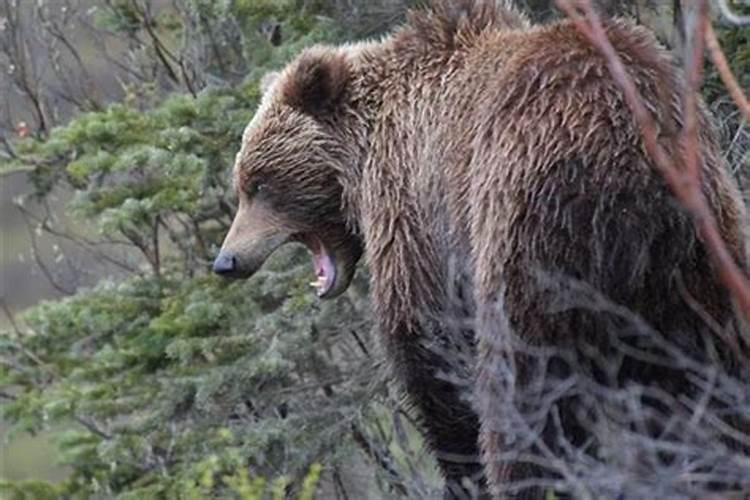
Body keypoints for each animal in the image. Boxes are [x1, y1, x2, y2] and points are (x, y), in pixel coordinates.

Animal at [214, 1, 748, 498]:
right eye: (244, 183)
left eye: (259, 184)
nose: (226, 260)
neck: (363, 157)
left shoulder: (415, 211)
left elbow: (426, 344)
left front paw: (459, 467)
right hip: (696, 251)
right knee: (713, 371)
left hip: (525, 224)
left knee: (524, 385)